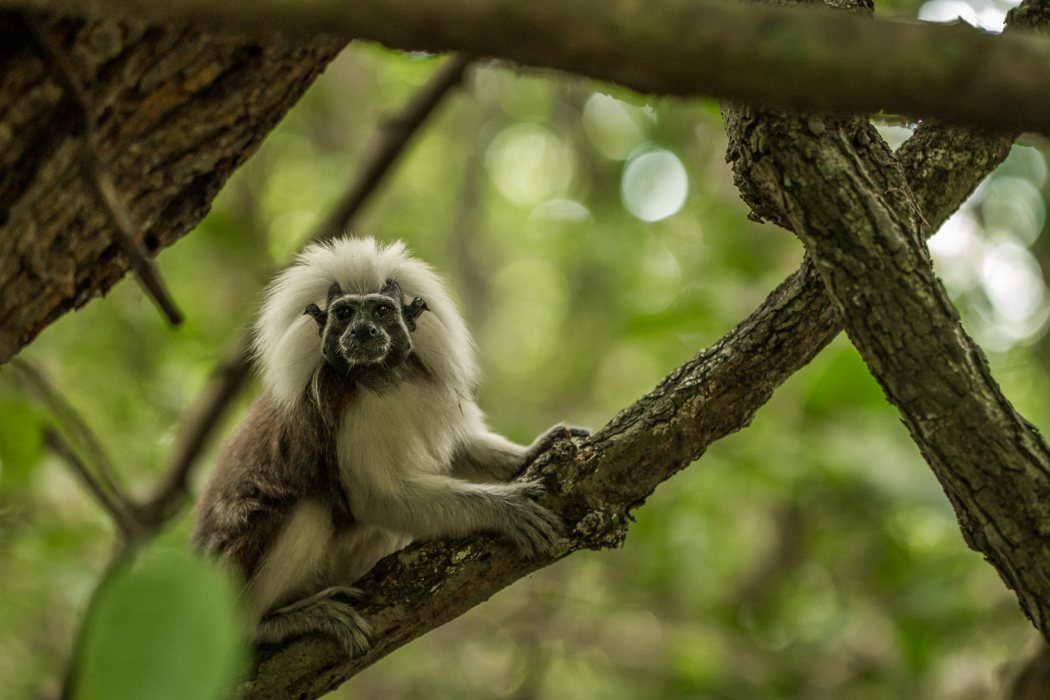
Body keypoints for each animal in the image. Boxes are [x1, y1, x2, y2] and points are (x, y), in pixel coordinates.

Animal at [193, 239, 588, 659]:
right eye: (345, 313)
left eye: (381, 311)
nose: (363, 330)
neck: (383, 379)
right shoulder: (347, 408)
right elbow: (376, 497)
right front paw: (504, 509)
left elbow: (458, 450)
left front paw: (535, 450)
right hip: (230, 576)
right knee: (310, 507)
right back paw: (271, 624)